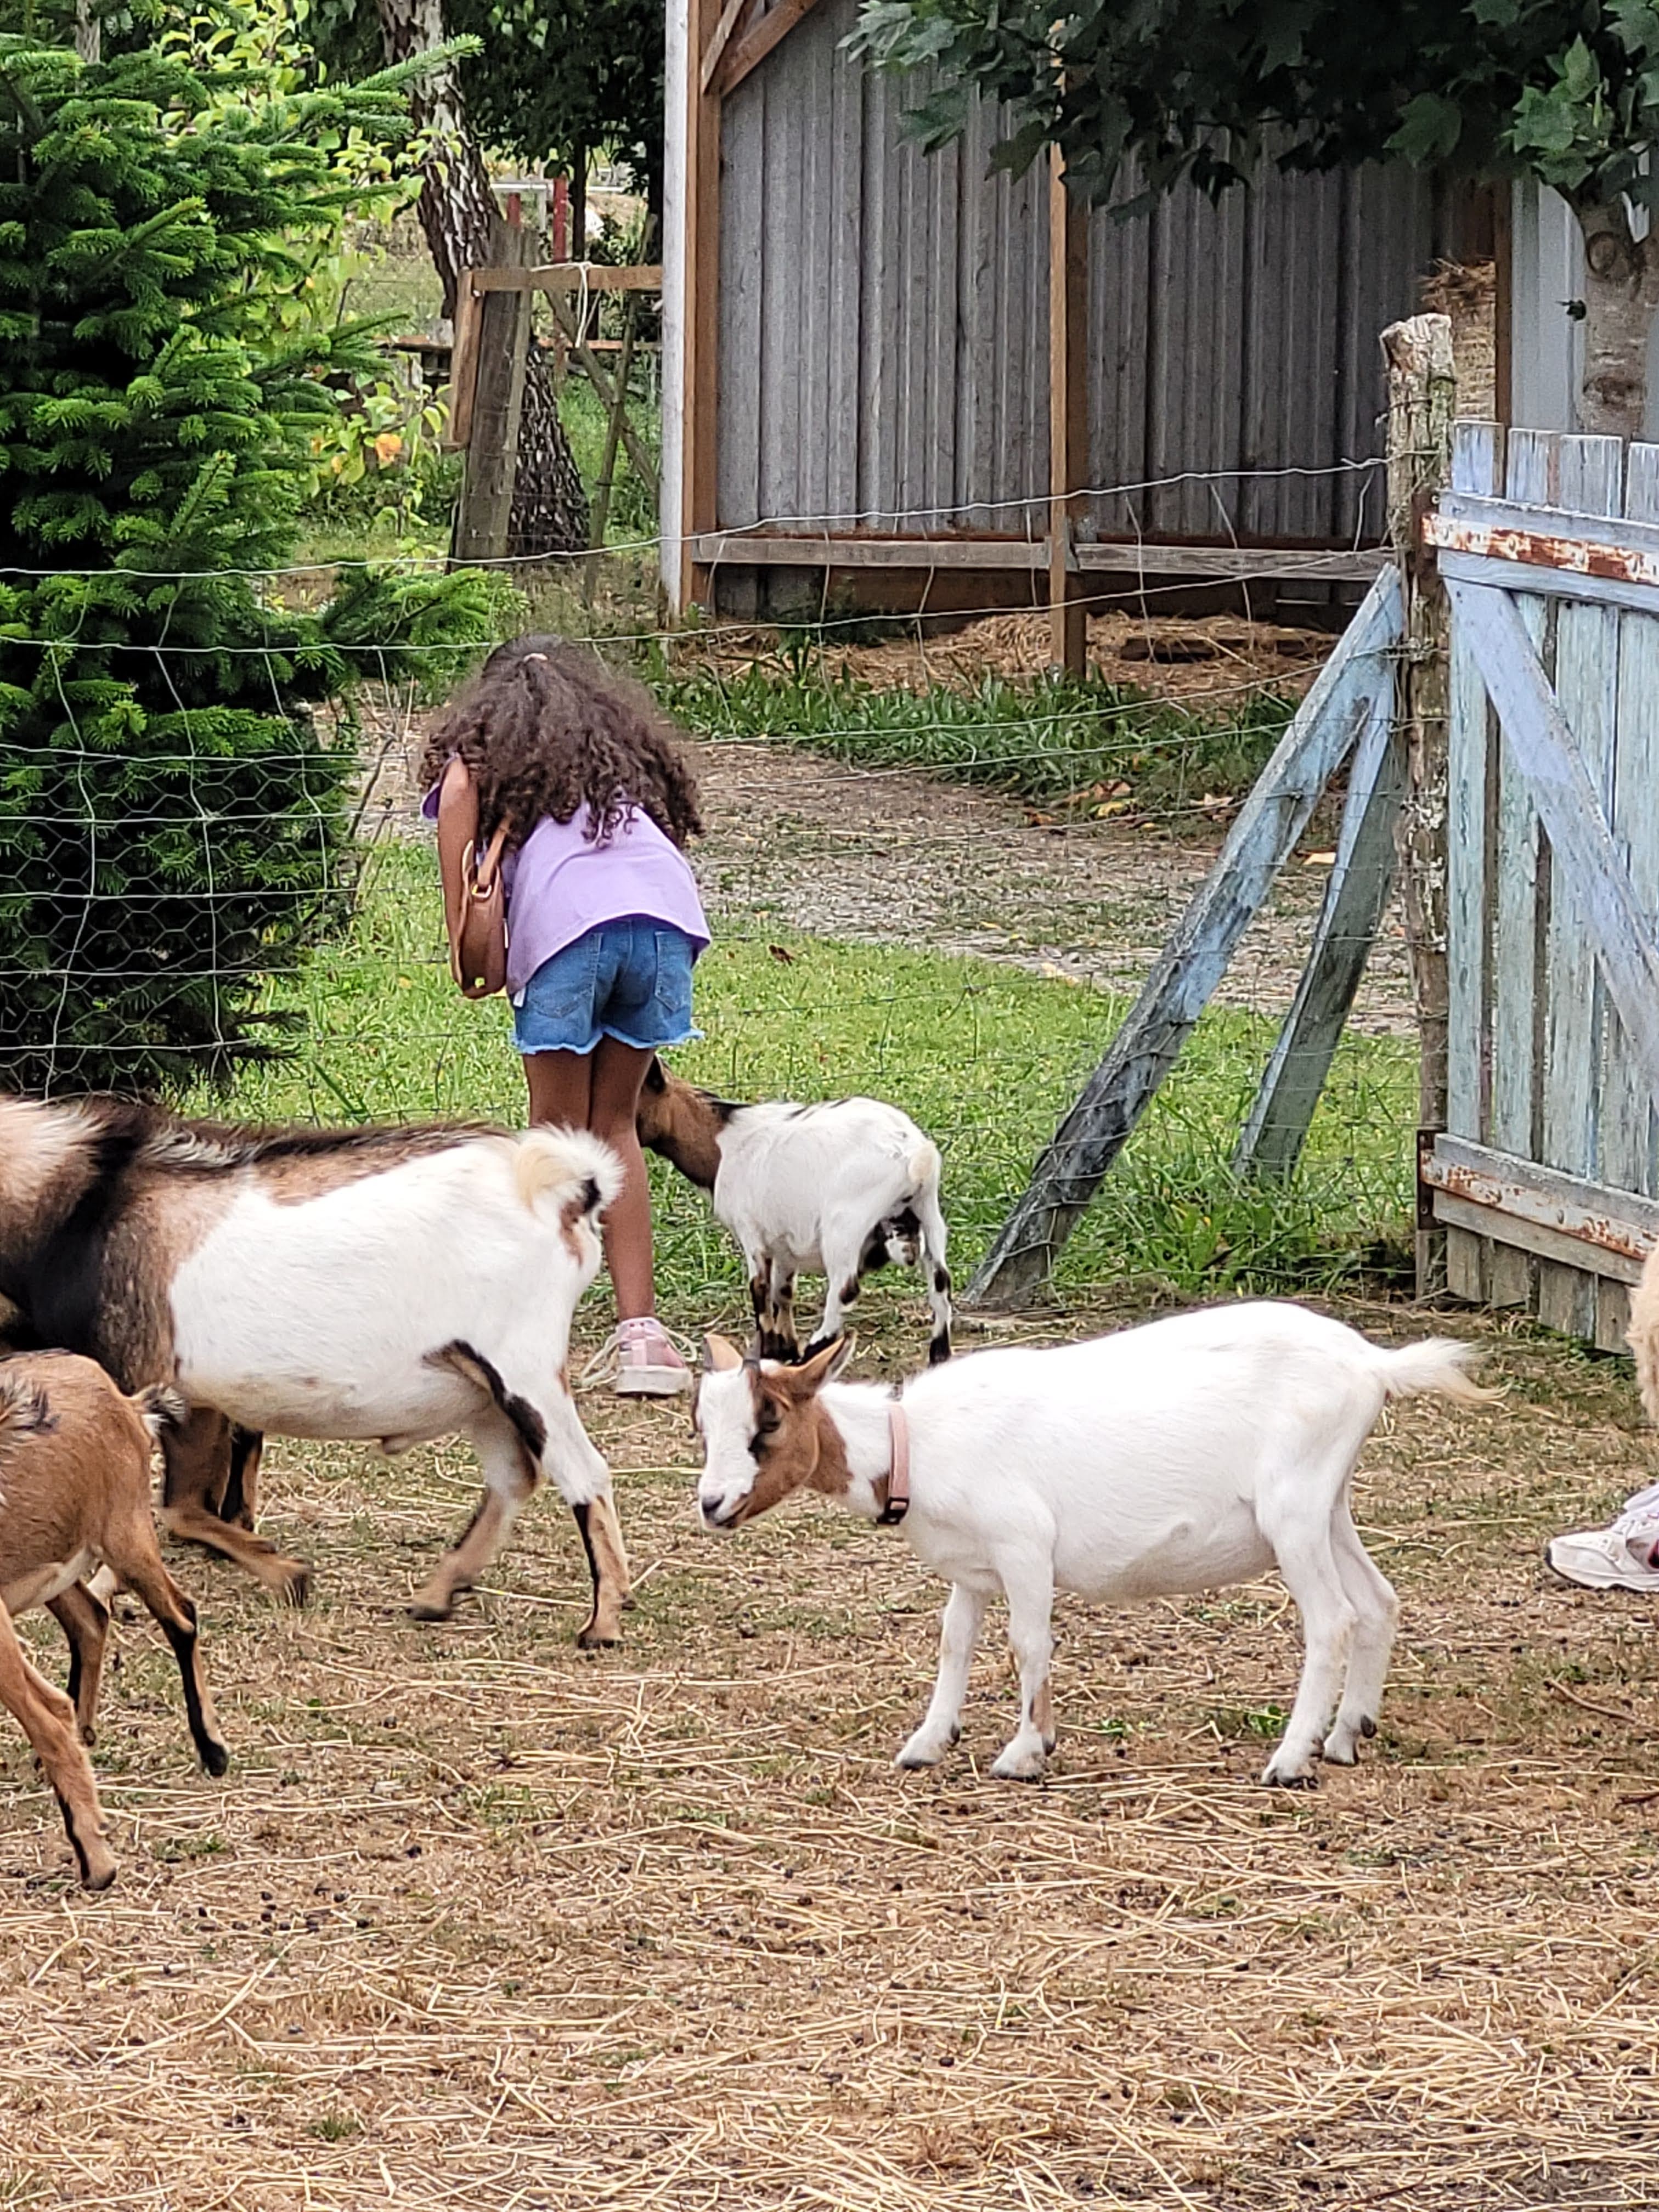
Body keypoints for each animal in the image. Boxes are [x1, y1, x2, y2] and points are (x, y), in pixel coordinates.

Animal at [0, 1096, 631, 1647]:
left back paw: (601, 1624)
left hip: (524, 1370)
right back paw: (439, 1594)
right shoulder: (199, 1401)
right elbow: (184, 1503)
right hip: (481, 1391)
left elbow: (173, 1507)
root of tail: (569, 1191)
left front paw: (287, 1574)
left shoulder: (148, 1380)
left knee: (584, 1473)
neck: (84, 1204)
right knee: (513, 1478)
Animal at [636, 1058, 952, 1363]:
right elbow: (783, 1292)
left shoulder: (751, 1232)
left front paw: (769, 1351)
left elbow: (760, 1289)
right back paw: (939, 1354)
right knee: (940, 1280)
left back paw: (816, 1349)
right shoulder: (783, 1242)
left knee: (845, 1288)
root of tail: (915, 1153)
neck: (722, 1144)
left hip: (844, 1225)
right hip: (929, 1214)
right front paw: (786, 1348)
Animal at [693, 1303, 1494, 1787]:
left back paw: (1291, 1759)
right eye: (705, 1424)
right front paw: (928, 1742)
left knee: (1334, 1620)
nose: (712, 1505)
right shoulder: (973, 1569)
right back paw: (1348, 1735)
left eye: (769, 1422)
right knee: (1380, 1601)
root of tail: (1372, 1366)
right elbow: (955, 1642)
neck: (913, 1442)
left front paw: (1026, 1752)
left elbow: (1028, 1644)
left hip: (1294, 1511)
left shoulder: (1024, 1545)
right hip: (1328, 1506)